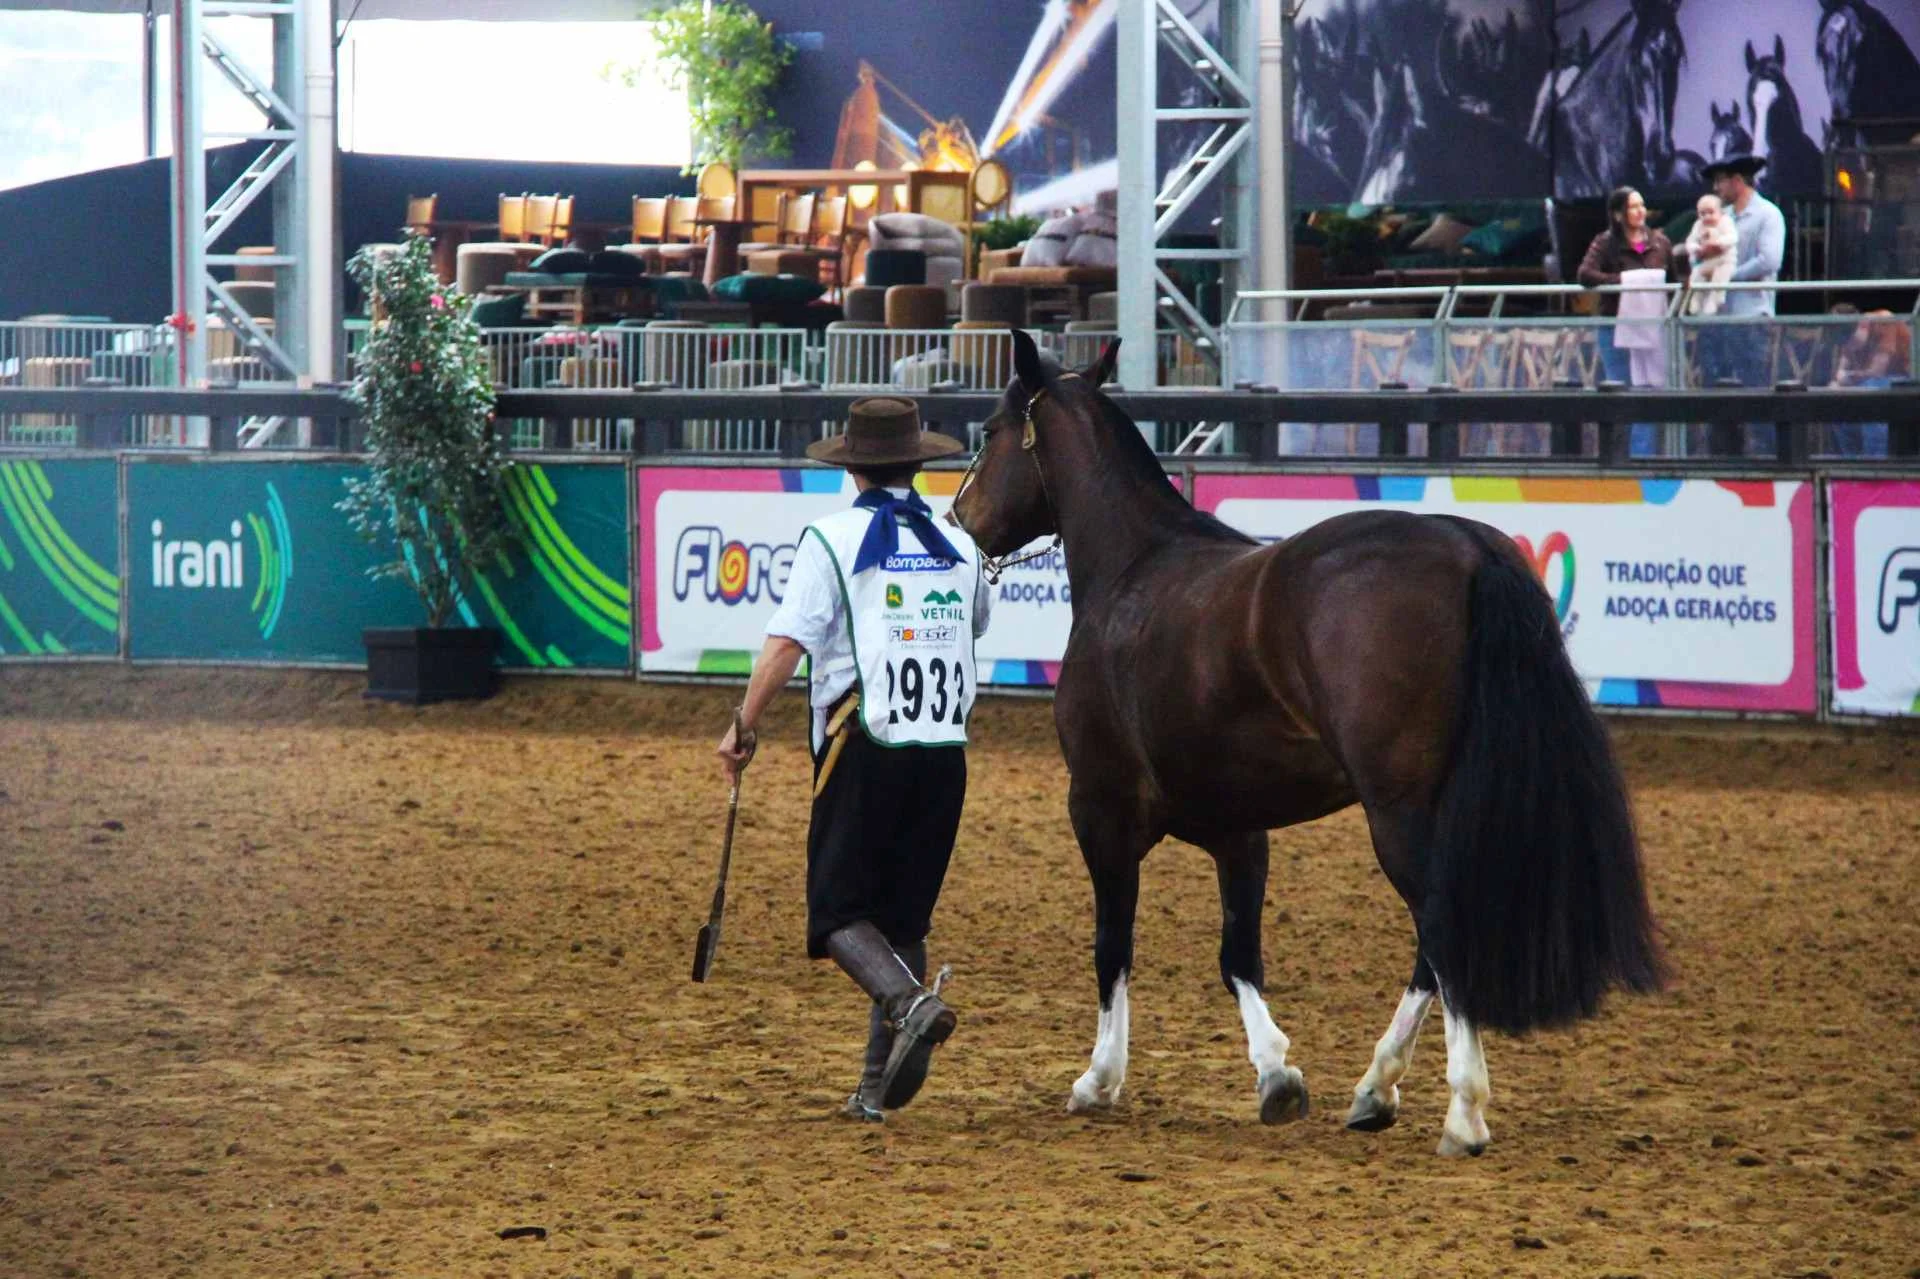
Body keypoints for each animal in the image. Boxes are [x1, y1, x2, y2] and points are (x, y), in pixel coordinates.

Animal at [948, 334, 1667, 1157]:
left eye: (993, 429)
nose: (960, 514)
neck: (1134, 570)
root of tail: (1466, 545)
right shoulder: (1237, 827)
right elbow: (1238, 954)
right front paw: (1276, 1075)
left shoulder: (1099, 810)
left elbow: (1114, 944)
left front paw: (1099, 1079)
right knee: (1432, 945)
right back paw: (1376, 1086)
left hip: (1398, 814)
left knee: (1442, 930)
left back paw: (1462, 1110)